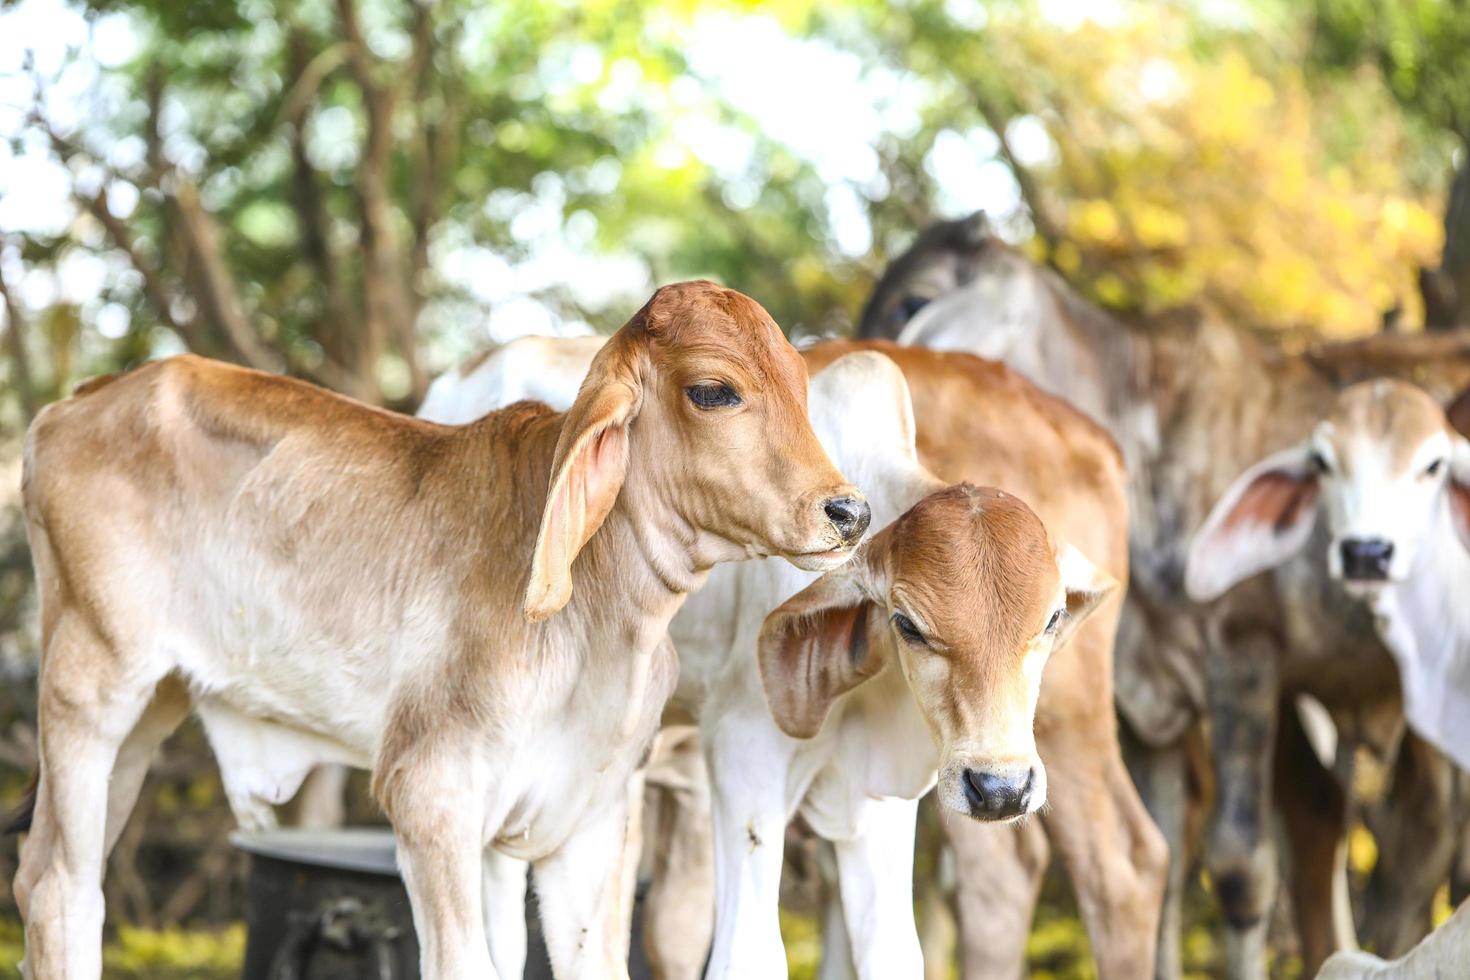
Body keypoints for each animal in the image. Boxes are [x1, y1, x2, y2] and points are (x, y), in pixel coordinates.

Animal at [11, 279, 864, 975]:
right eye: (714, 392)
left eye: (800, 386)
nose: (847, 510)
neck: (607, 628)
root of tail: (76, 401)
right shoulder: (431, 792)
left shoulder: (589, 820)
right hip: (90, 684)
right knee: (61, 888)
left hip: (148, 711)